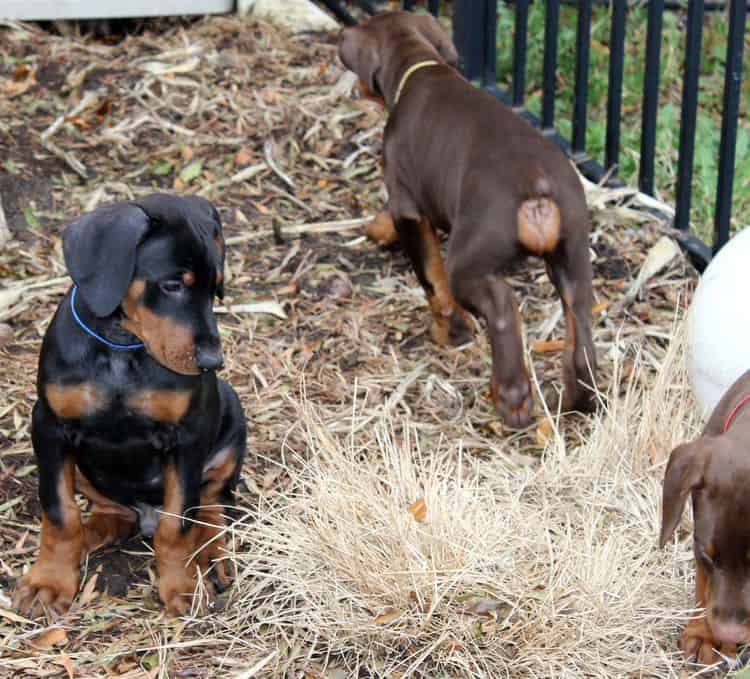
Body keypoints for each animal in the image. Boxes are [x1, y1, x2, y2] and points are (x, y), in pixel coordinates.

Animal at [13, 193, 247, 616]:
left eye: (216, 289)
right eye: (172, 285)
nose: (212, 362)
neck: (121, 348)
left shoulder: (188, 436)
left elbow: (179, 520)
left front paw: (182, 585)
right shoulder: (49, 425)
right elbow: (59, 512)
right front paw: (48, 582)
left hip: (232, 418)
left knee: (212, 503)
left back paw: (213, 557)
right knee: (110, 512)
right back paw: (88, 537)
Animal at [340, 10, 600, 428]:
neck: (418, 66)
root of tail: (536, 186)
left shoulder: (406, 203)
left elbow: (432, 279)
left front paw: (451, 333)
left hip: (471, 259)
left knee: (502, 308)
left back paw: (511, 397)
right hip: (573, 252)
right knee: (579, 323)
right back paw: (579, 398)